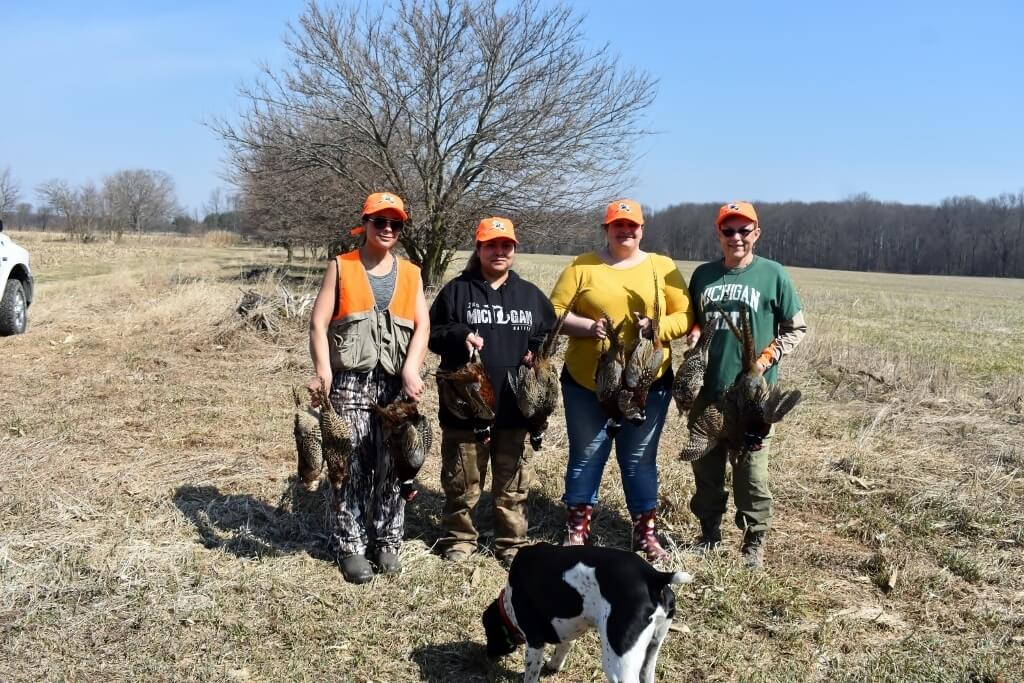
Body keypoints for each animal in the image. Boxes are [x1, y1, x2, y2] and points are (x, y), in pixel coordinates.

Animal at [482, 542, 692, 683]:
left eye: (488, 631)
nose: (488, 654)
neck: (508, 601)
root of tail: (653, 576)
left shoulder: (534, 641)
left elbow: (531, 673)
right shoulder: (567, 629)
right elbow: (564, 647)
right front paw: (553, 666)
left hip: (618, 664)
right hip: (651, 653)